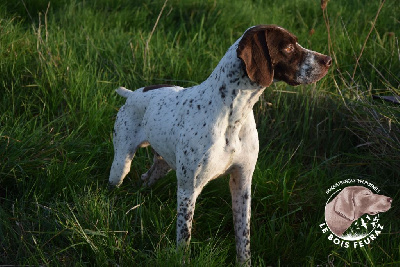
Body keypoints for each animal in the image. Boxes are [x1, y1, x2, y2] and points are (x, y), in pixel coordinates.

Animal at [109, 25, 332, 266]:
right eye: (288, 47)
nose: (328, 60)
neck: (234, 115)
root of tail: (133, 93)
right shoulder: (188, 190)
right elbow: (184, 239)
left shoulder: (242, 184)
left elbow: (243, 238)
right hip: (120, 165)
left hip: (162, 165)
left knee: (146, 178)